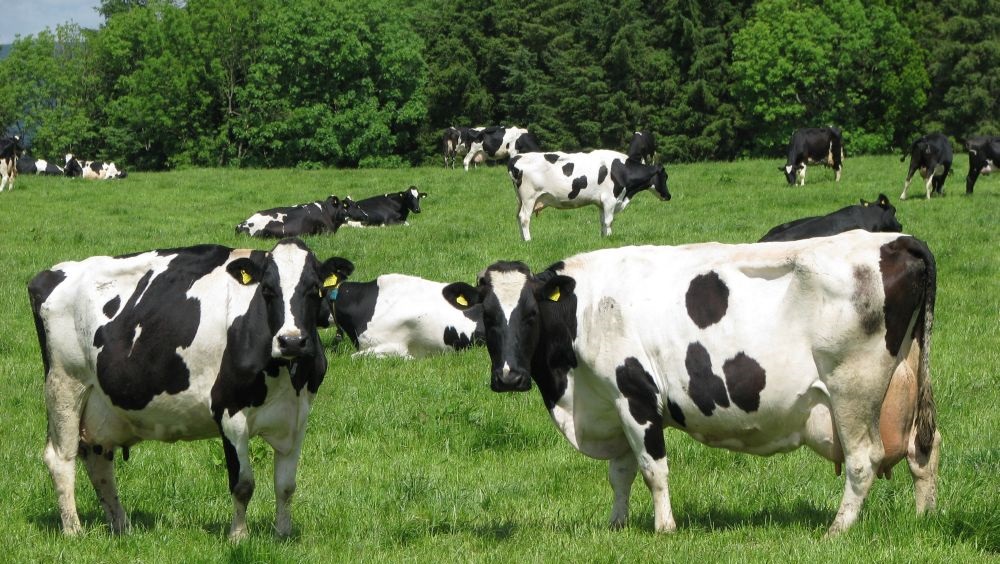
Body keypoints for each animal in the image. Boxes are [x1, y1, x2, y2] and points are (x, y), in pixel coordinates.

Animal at [28, 238, 354, 539]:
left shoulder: (297, 415)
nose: (291, 341)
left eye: (315, 289)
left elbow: (286, 485)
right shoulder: (229, 411)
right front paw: (238, 537)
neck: (285, 372)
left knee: (98, 461)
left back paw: (123, 528)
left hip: (101, 405)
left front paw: (282, 535)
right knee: (61, 458)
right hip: (65, 385)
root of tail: (52, 273)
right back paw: (74, 531)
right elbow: (243, 484)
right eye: (267, 290)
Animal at [443, 231, 940, 536]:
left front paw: (665, 528)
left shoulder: (635, 394)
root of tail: (895, 240)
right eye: (487, 317)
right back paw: (923, 519)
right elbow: (620, 472)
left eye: (531, 314)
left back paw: (836, 530)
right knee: (924, 449)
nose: (509, 376)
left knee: (863, 460)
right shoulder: (610, 402)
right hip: (907, 383)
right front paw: (617, 525)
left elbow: (652, 468)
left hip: (852, 389)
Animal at [507, 150, 670, 241]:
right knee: (524, 218)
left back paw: (522, 240)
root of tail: (516, 157)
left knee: (517, 217)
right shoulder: (610, 200)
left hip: (520, 200)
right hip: (529, 198)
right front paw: (609, 237)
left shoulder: (601, 203)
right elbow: (609, 221)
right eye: (665, 176)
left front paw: (603, 238)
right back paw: (528, 240)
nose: (669, 196)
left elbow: (603, 221)